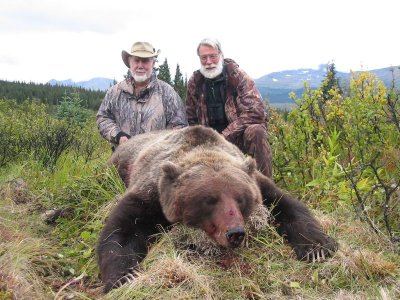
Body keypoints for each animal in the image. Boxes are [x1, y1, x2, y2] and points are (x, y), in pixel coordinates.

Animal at [97, 125, 338, 292]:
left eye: (241, 199)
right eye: (209, 200)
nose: (235, 233)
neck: (201, 148)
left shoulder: (258, 183)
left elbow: (289, 207)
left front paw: (318, 248)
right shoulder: (150, 193)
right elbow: (123, 229)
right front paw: (124, 276)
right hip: (114, 167)